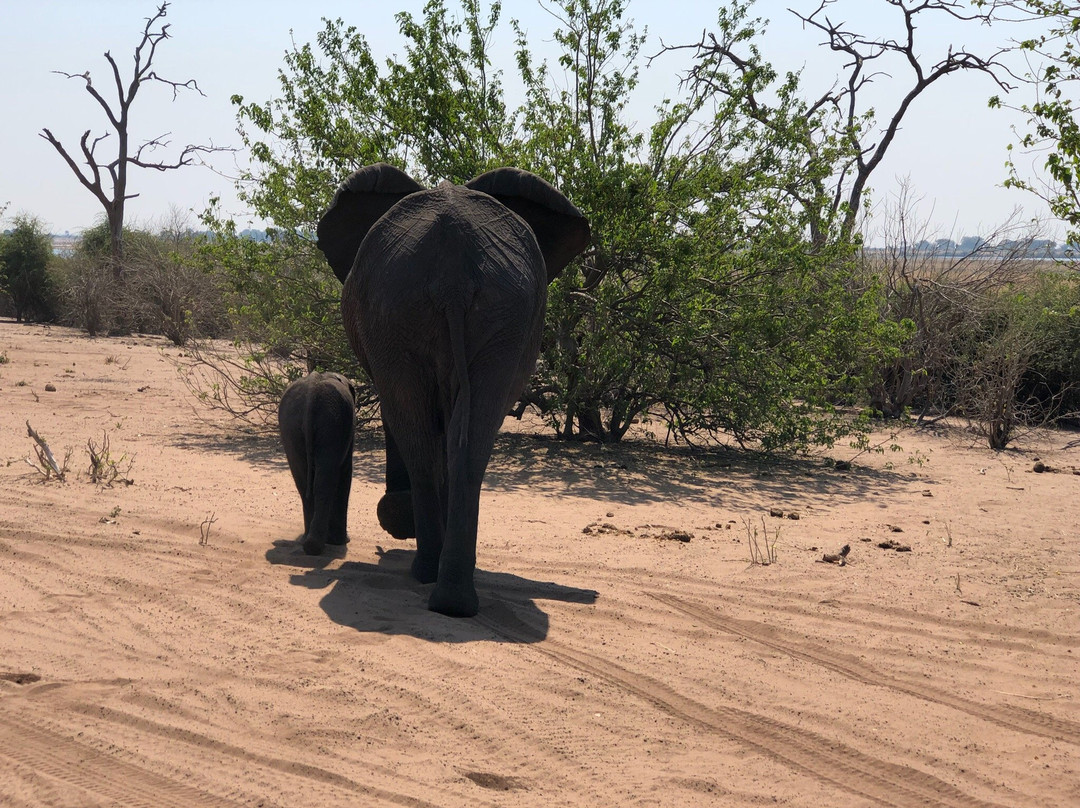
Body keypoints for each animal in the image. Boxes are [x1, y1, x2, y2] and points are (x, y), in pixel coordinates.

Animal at [276, 371, 356, 557]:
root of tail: (311, 397)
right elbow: (345, 472)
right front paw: (342, 541)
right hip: (332, 422)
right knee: (325, 480)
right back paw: (317, 545)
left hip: (292, 425)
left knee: (303, 480)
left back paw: (308, 543)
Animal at [317, 165, 591, 617]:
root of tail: (454, 272)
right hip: (488, 315)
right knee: (469, 439)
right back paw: (453, 597)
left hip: (415, 313)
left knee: (421, 431)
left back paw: (430, 576)